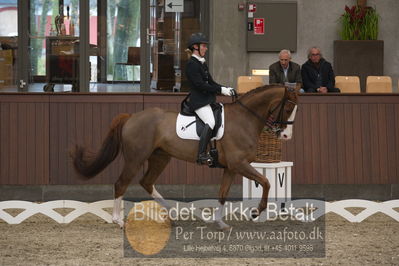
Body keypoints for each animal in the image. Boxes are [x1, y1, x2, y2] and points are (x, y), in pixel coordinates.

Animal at [71, 85, 296, 229]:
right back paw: (118, 221)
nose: (286, 136)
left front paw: (220, 222)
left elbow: (223, 194)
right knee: (121, 183)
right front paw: (257, 211)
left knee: (146, 182)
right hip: (135, 159)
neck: (244, 119)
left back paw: (172, 214)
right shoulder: (239, 164)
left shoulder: (230, 168)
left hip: (160, 158)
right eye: (287, 107)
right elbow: (266, 182)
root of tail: (131, 117)